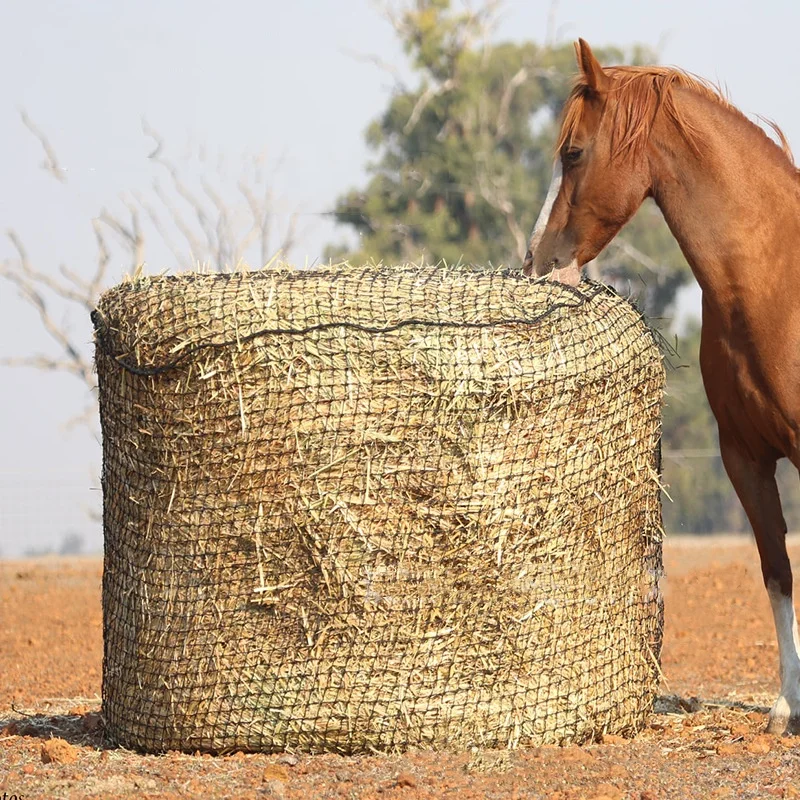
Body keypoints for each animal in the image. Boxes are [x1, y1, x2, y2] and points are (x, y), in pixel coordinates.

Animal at [523, 39, 800, 735]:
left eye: (573, 153)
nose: (537, 261)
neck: (775, 283)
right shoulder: (745, 458)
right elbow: (776, 571)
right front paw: (787, 705)